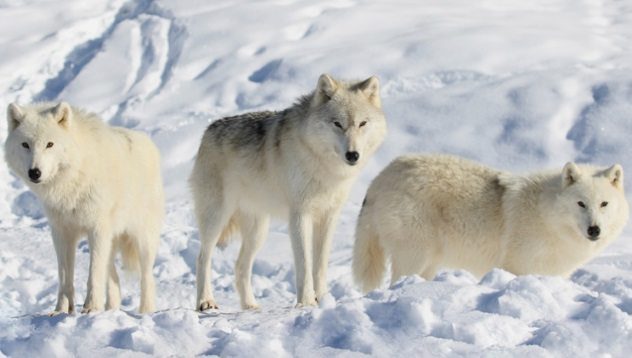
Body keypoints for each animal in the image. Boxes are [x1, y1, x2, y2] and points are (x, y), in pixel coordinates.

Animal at [189, 73, 386, 310]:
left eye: (362, 123)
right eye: (337, 124)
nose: (353, 155)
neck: (323, 167)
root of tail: (207, 131)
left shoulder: (328, 217)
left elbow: (320, 265)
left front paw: (324, 299)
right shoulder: (300, 215)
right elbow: (304, 264)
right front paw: (307, 302)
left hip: (258, 231)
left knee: (240, 266)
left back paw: (250, 306)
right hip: (217, 219)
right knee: (202, 258)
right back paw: (205, 302)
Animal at [354, 153, 628, 290]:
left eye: (604, 204)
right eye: (581, 204)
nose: (594, 230)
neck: (546, 215)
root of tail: (380, 177)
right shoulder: (516, 268)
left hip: (430, 262)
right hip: (416, 255)